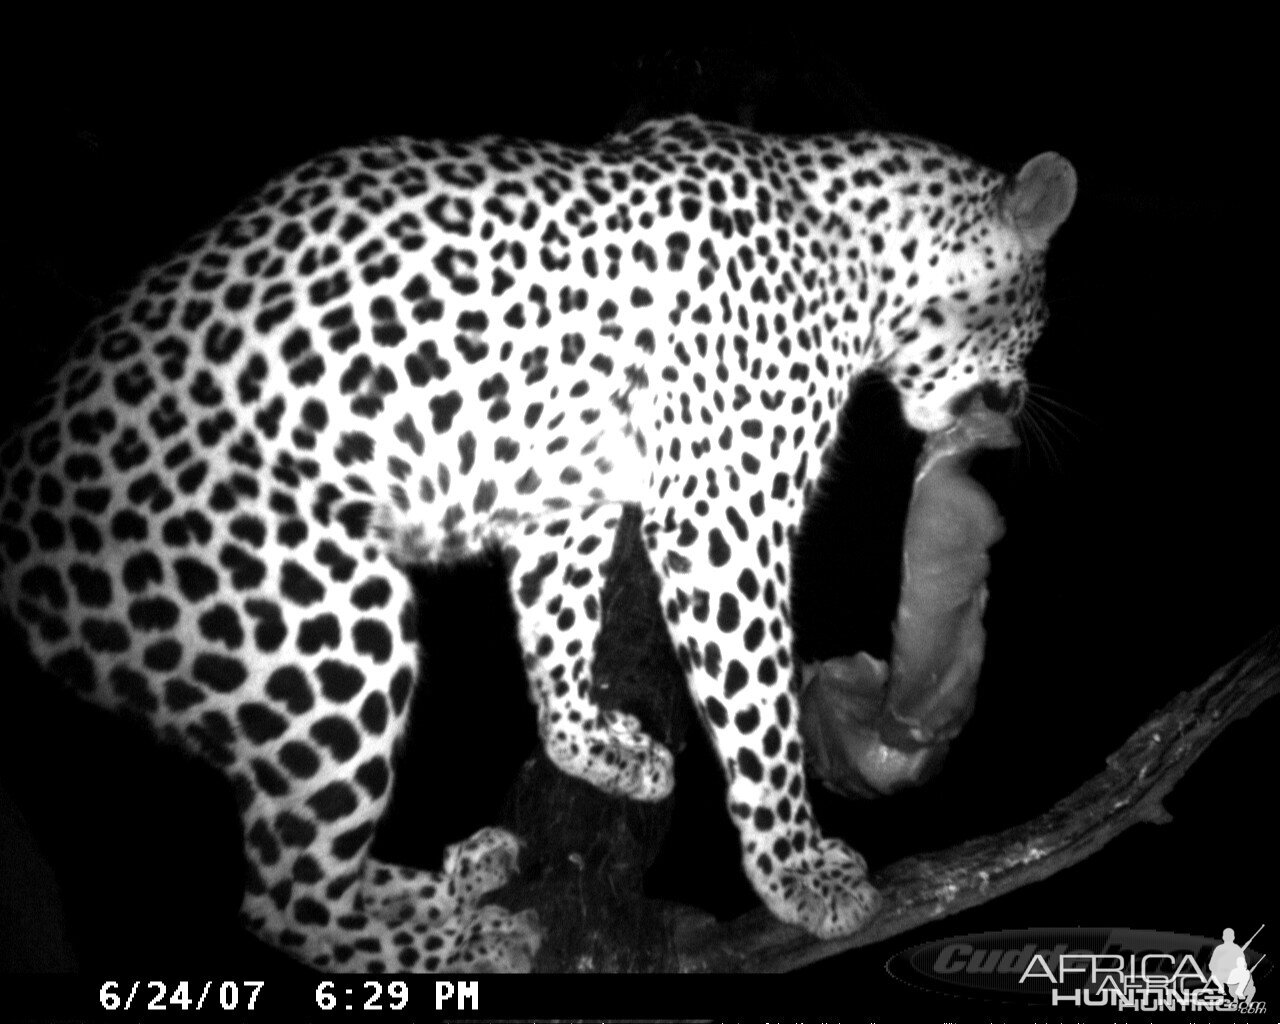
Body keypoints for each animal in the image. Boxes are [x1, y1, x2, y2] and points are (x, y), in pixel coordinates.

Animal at [0, 115, 1070, 972]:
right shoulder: (722, 514)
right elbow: (759, 710)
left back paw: (449, 878)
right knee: (281, 899)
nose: (1019, 402)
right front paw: (797, 869)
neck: (857, 253)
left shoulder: (569, 495)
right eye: (1036, 324)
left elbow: (558, 622)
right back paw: (459, 942)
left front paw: (588, 746)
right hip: (328, 620)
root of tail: (22, 524)